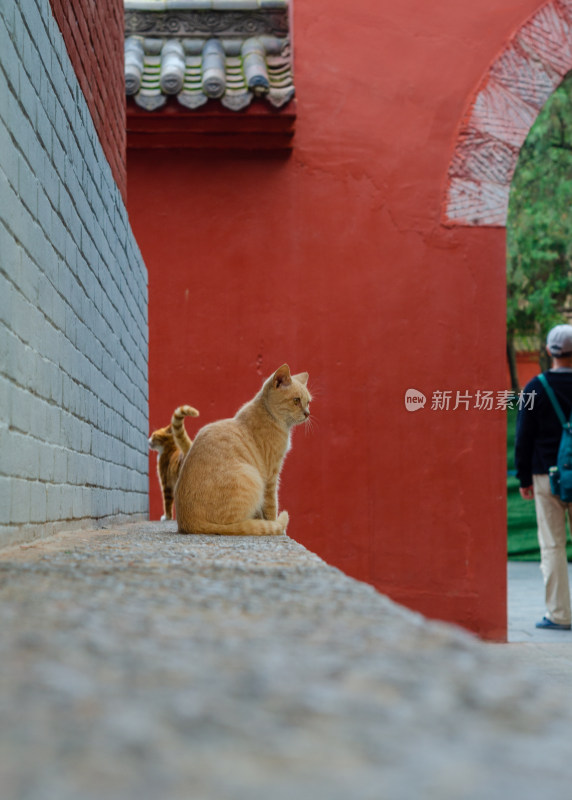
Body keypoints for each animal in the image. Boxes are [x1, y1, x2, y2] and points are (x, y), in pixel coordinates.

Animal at [174, 366, 310, 536]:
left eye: (308, 402)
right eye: (296, 400)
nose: (307, 413)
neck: (269, 414)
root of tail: (188, 522)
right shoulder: (271, 476)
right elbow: (272, 505)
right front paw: (274, 524)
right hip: (251, 477)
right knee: (237, 525)